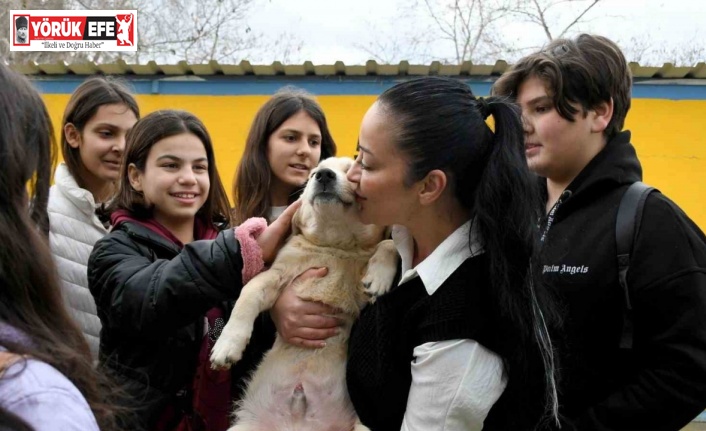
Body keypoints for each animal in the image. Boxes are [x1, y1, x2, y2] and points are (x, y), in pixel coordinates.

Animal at [209, 158, 396, 431]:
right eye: (312, 174)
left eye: (352, 170)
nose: (324, 175)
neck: (334, 245)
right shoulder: (277, 275)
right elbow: (249, 291)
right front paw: (228, 344)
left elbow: (389, 243)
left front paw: (379, 276)